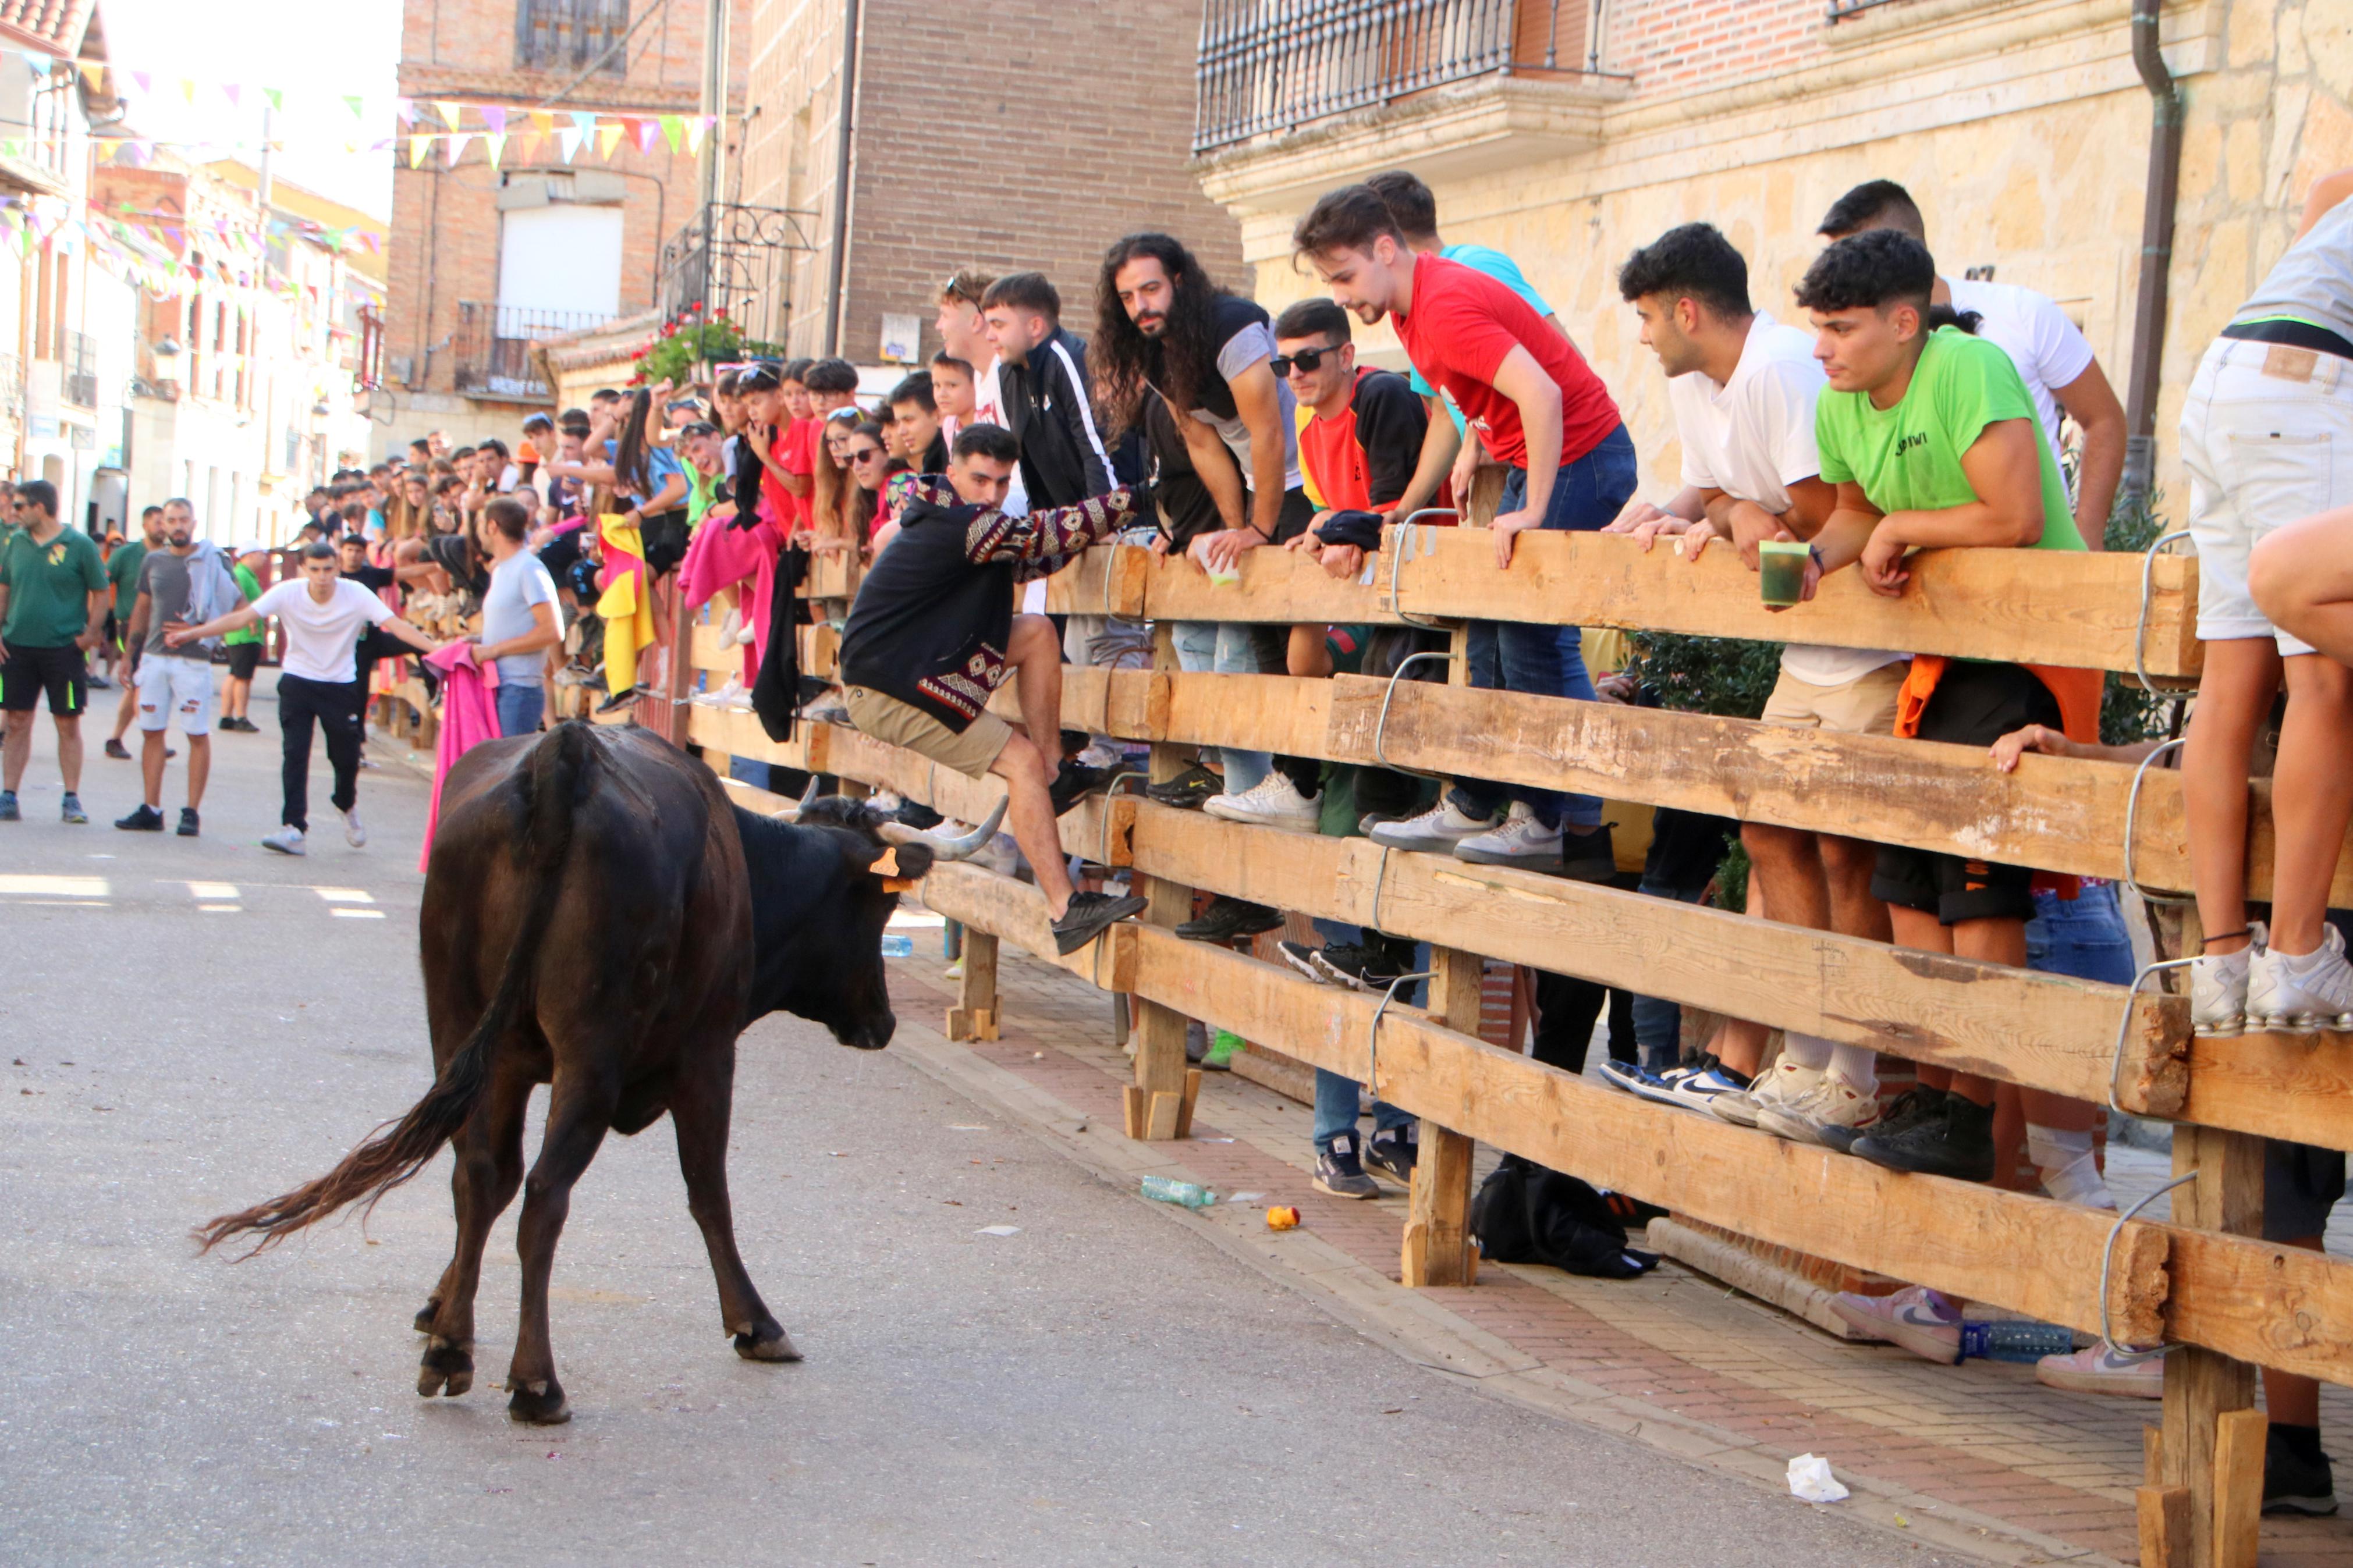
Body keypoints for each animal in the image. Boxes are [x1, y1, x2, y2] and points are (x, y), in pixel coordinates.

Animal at [200, 724, 1002, 1420]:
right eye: (881, 907)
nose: (883, 1023)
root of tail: (565, 755)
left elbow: (482, 1188)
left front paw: (439, 1306)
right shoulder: (708, 1057)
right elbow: (708, 1192)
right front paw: (755, 1322)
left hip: (463, 1030)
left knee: (479, 1174)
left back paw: (452, 1350)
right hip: (592, 1055)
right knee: (543, 1194)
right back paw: (536, 1382)